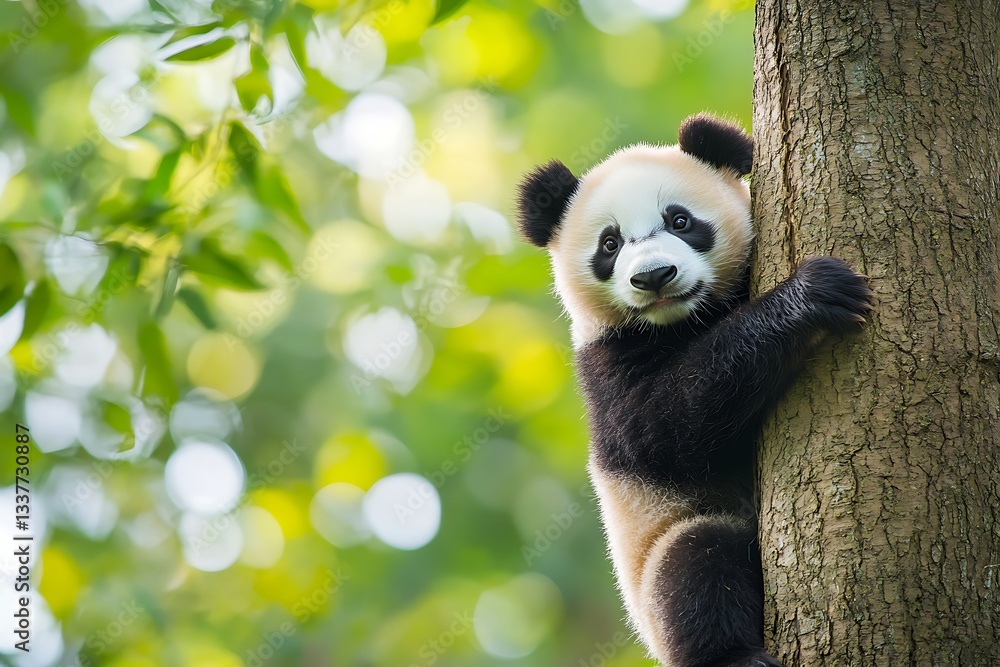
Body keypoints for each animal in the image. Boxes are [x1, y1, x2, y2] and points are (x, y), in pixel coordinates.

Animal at [516, 114, 873, 667]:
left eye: (680, 221)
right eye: (610, 244)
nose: (654, 276)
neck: (687, 318)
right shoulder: (607, 365)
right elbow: (668, 425)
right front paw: (810, 295)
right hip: (659, 559)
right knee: (699, 565)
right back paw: (734, 656)